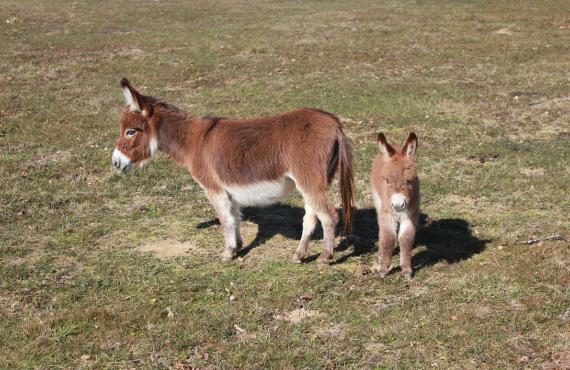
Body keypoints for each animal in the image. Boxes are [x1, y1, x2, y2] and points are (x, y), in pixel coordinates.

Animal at [368, 132, 418, 278]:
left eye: (409, 180)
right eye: (387, 181)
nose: (398, 205)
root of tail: (395, 146)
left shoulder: (410, 215)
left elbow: (406, 239)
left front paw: (406, 270)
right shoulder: (388, 214)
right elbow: (388, 238)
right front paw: (384, 269)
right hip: (378, 203)